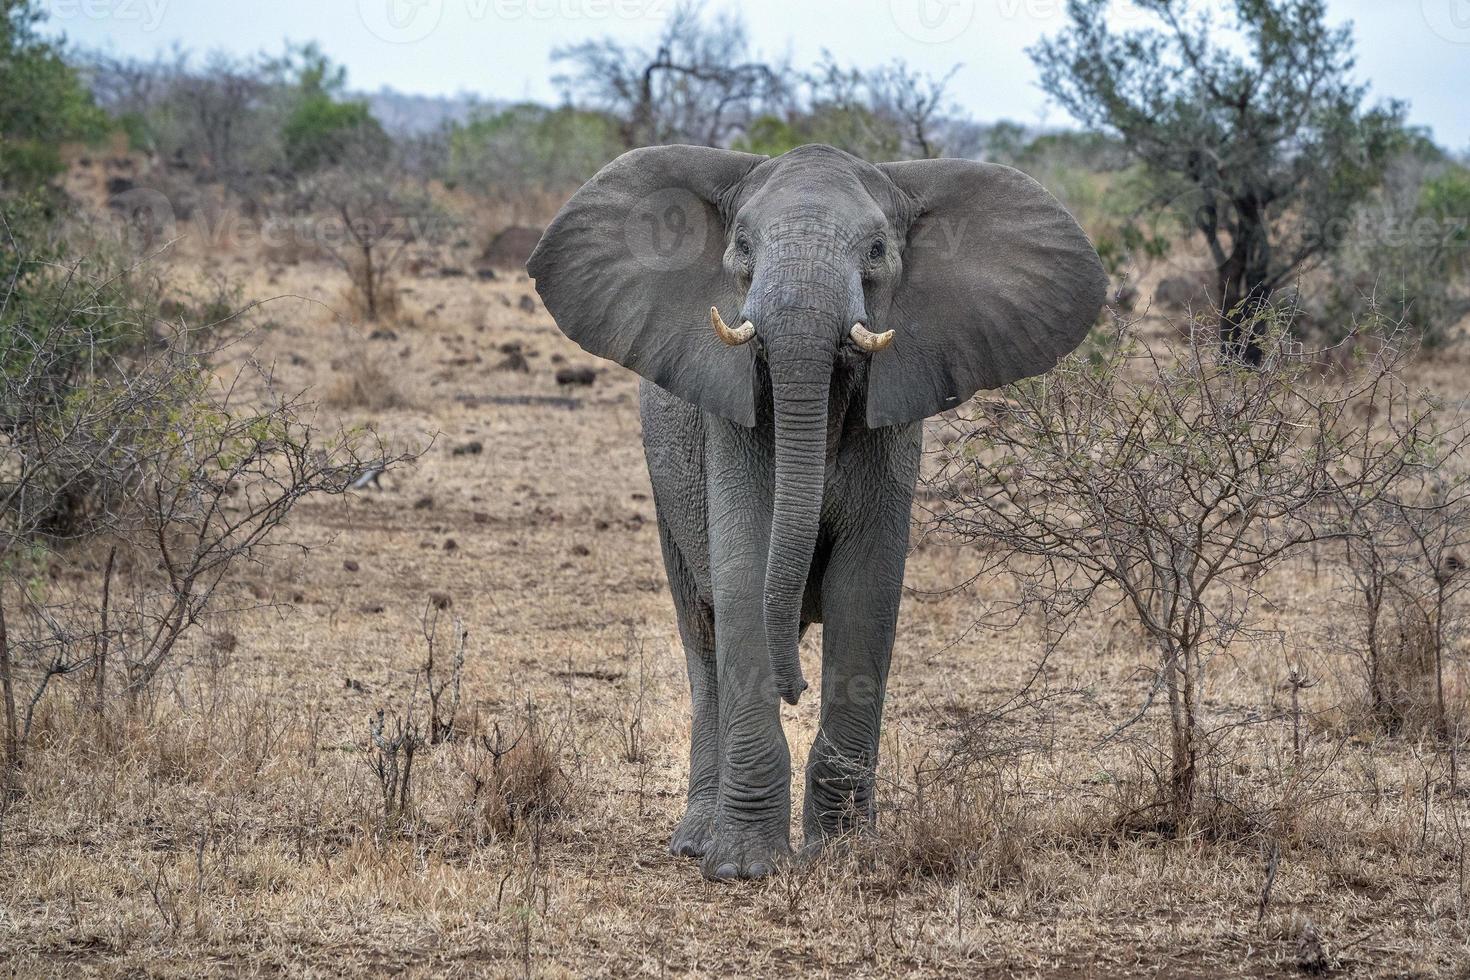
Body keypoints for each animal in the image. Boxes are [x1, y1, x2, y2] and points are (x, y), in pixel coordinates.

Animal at [529, 139, 1105, 881]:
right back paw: (695, 841)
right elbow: (744, 574)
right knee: (702, 633)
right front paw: (743, 868)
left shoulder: (892, 421)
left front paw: (846, 855)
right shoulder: (733, 418)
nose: (794, 687)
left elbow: (865, 592)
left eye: (878, 250)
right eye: (742, 246)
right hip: (663, 485)